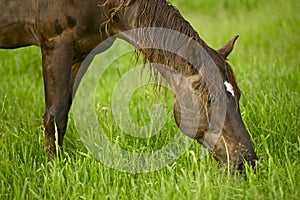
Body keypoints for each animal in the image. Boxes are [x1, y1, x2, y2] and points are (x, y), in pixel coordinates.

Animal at [0, 0, 258, 172]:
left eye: (238, 96)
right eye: (210, 100)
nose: (247, 161)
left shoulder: (79, 53)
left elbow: (62, 115)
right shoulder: (56, 44)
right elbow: (55, 116)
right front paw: (55, 171)